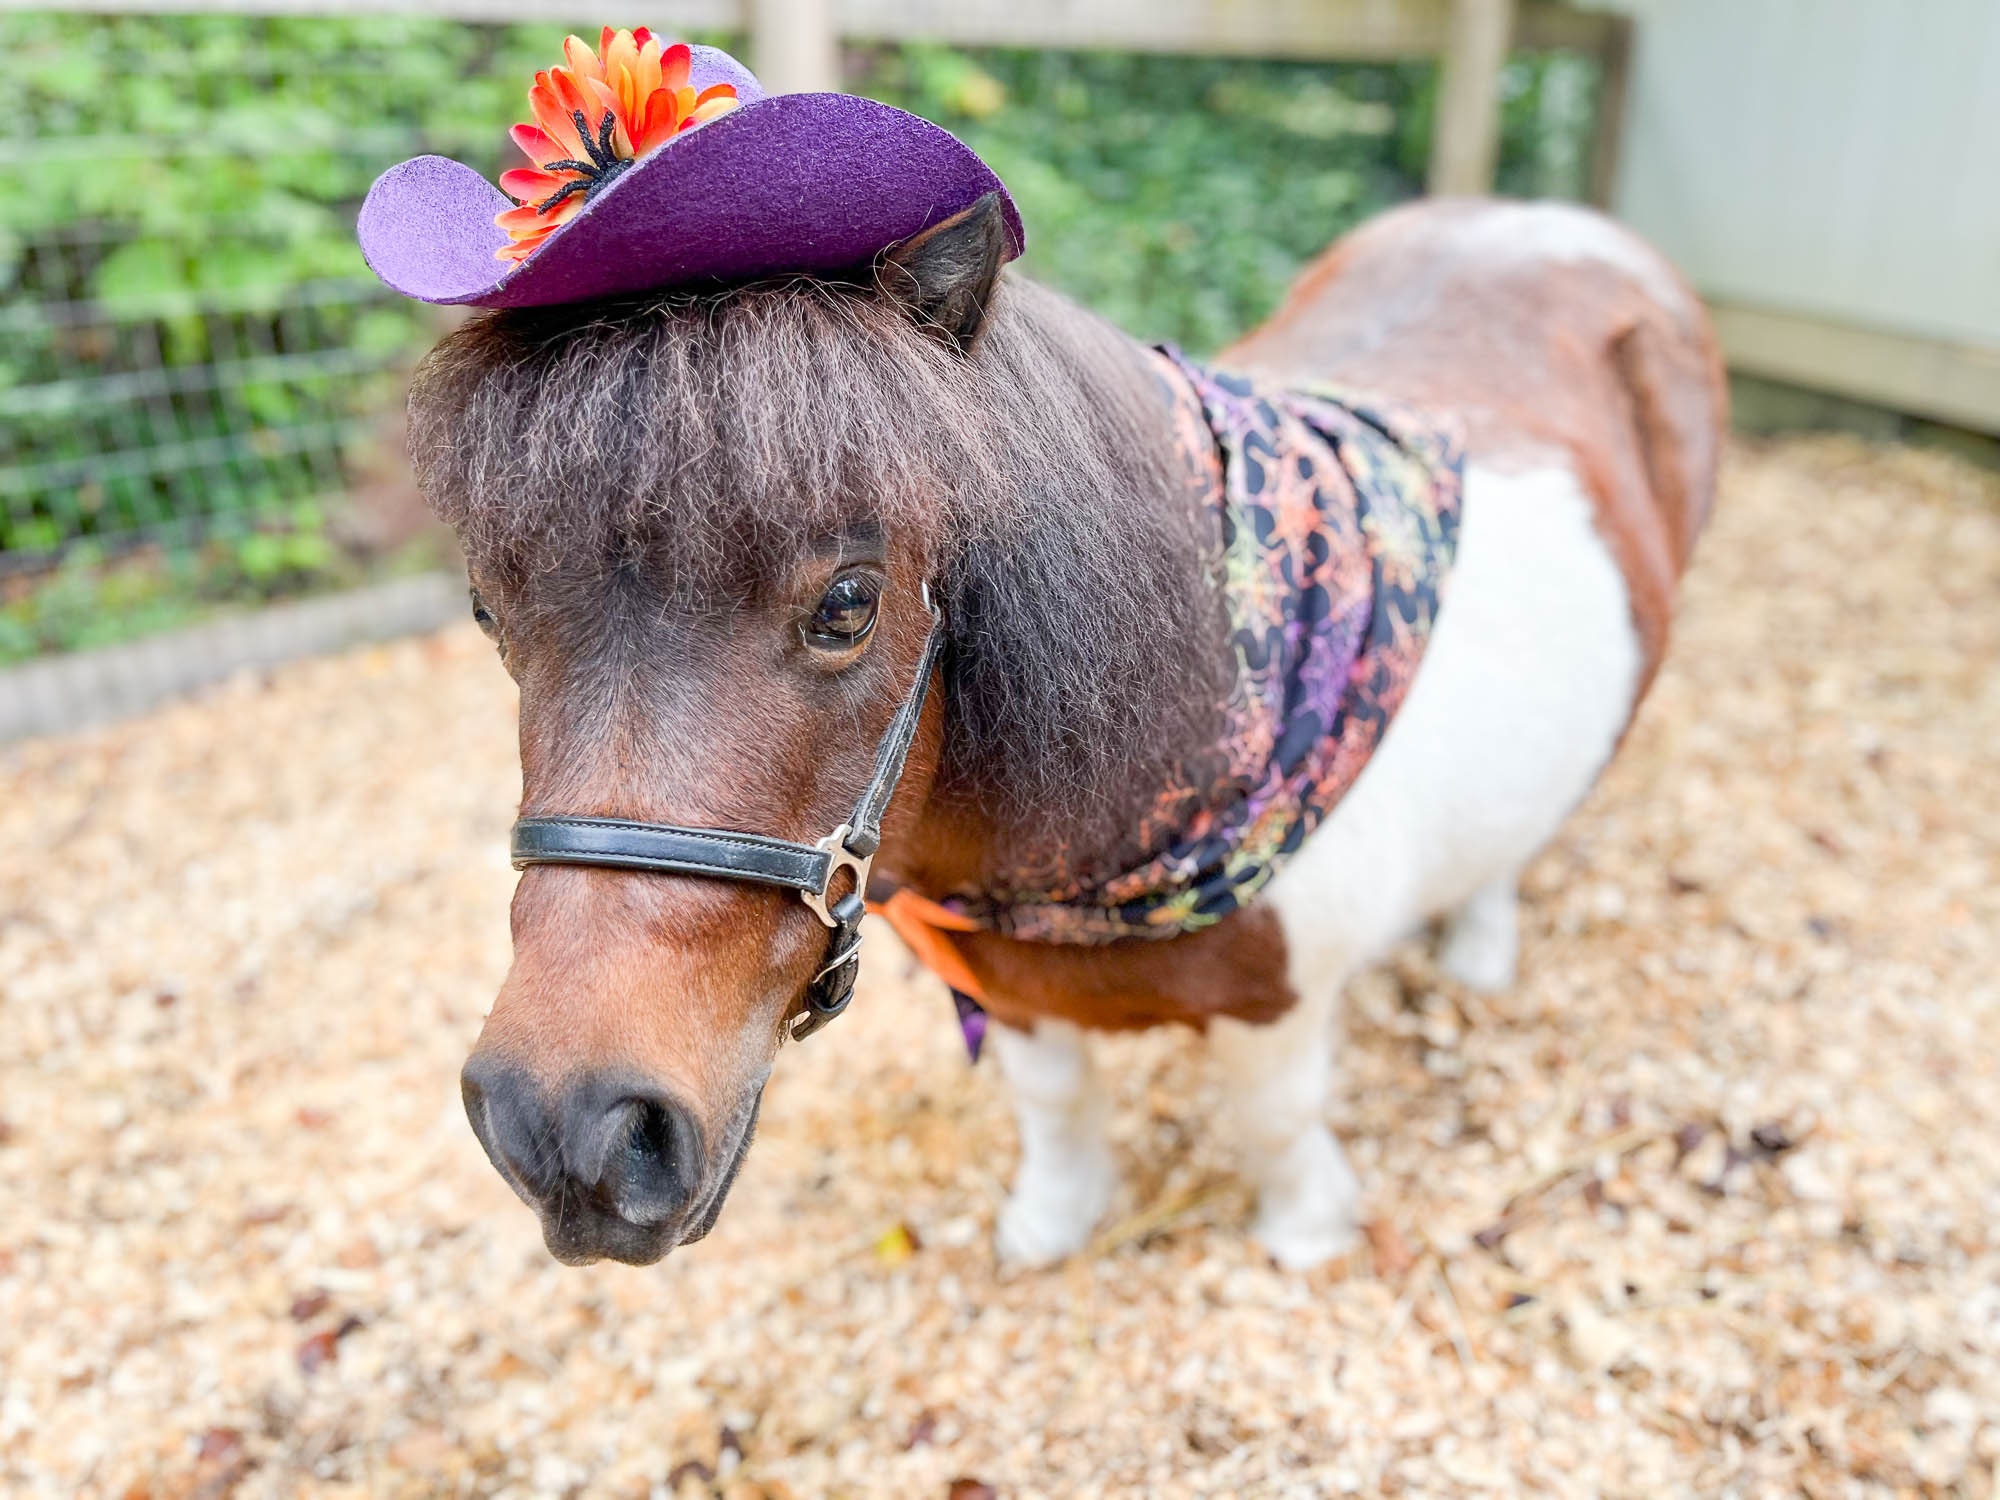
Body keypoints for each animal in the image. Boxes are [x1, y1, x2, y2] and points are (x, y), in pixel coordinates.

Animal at [408, 194, 1724, 1269]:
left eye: (847, 604)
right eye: (489, 613)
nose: (564, 1126)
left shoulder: (1280, 1006)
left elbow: (1272, 1122)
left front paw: (1304, 1234)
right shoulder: (1009, 982)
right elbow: (1053, 1107)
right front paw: (1052, 1223)